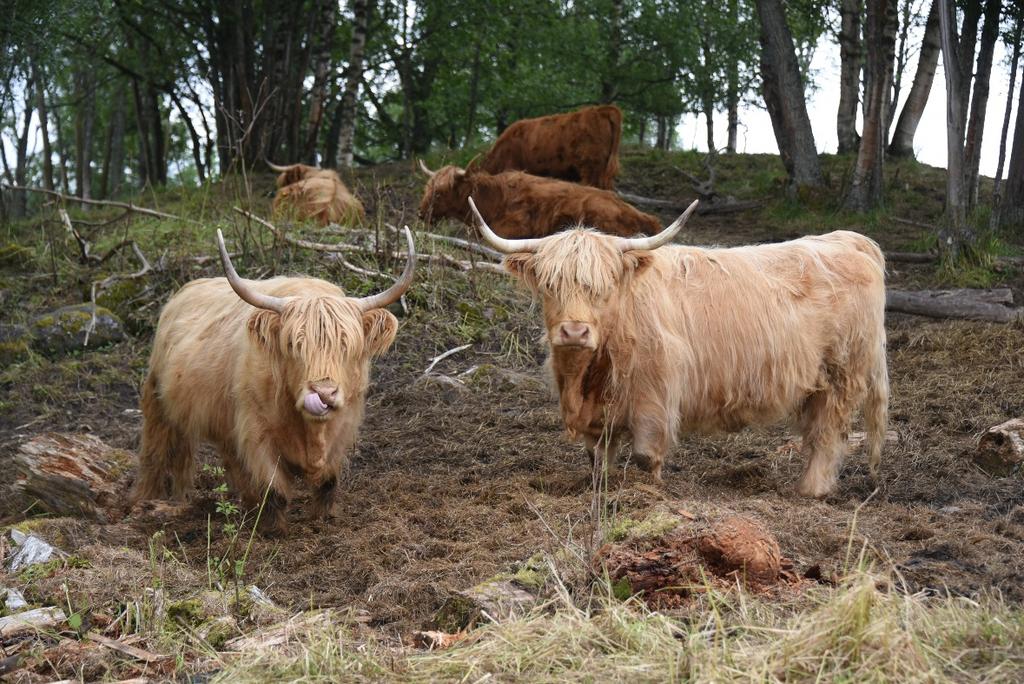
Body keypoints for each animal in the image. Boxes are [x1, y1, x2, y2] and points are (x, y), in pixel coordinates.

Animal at [133, 227, 415, 532]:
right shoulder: (256, 432)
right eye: (293, 344)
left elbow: (328, 482)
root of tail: (182, 293)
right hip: (157, 401)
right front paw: (274, 529)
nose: (324, 393)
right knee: (155, 453)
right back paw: (145, 502)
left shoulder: (344, 425)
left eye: (347, 345)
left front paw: (322, 519)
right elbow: (274, 488)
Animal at [468, 197, 888, 497]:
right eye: (549, 285)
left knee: (829, 433)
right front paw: (601, 489)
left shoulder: (655, 395)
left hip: (843, 373)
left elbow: (644, 455)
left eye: (603, 286)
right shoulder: (597, 413)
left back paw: (811, 491)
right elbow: (598, 456)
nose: (574, 332)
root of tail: (848, 240)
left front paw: (649, 492)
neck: (588, 376)